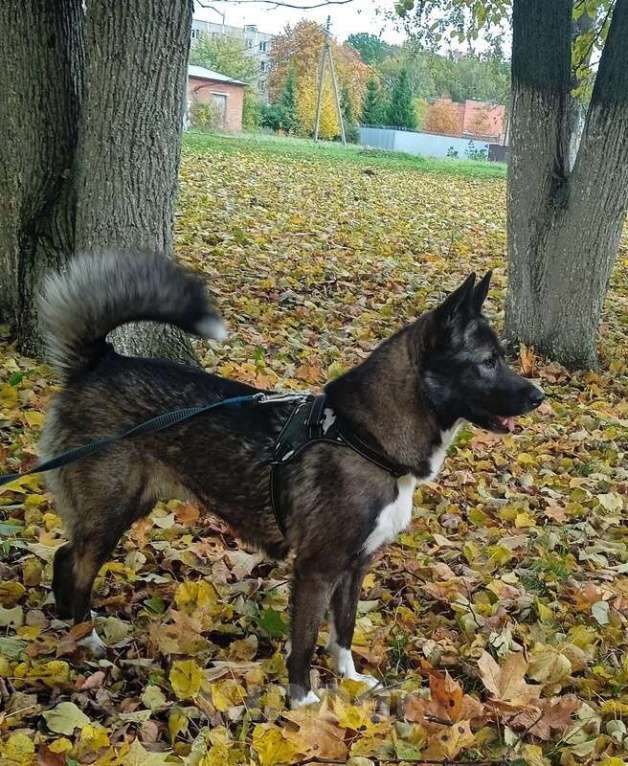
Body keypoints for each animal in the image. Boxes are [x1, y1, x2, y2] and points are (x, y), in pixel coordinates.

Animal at [38, 252, 544, 708]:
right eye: (487, 361)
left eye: (502, 358)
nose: (540, 396)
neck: (361, 436)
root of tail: (100, 360)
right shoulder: (317, 568)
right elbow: (302, 644)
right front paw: (303, 702)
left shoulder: (356, 566)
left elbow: (344, 631)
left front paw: (350, 680)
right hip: (112, 512)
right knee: (76, 566)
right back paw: (87, 638)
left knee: (66, 557)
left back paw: (70, 629)